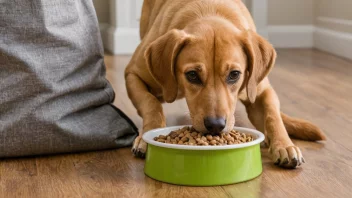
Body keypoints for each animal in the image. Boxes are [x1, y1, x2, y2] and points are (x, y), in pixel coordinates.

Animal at [125, 0, 326, 169]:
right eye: (192, 75)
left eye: (234, 74)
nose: (215, 125)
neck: (209, 10)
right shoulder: (132, 75)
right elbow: (152, 104)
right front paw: (147, 136)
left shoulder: (261, 90)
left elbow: (273, 116)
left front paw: (284, 145)